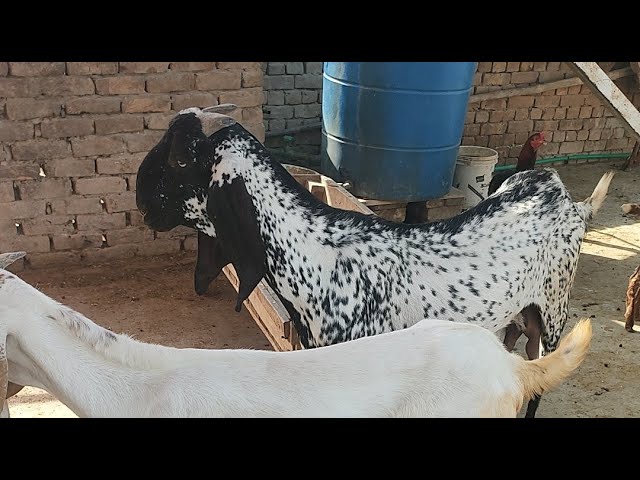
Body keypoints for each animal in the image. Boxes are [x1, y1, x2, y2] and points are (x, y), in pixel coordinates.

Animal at [135, 107, 614, 418]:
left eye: (181, 157)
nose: (140, 200)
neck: (315, 254)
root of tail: (565, 197)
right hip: (518, 315)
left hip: (552, 312)